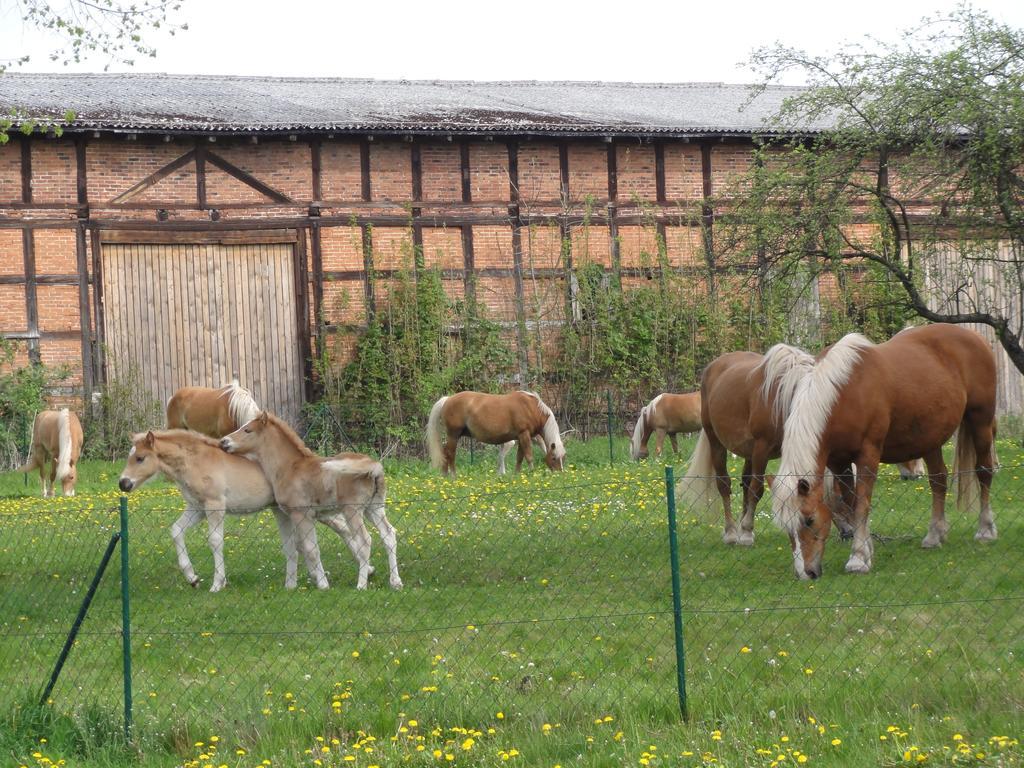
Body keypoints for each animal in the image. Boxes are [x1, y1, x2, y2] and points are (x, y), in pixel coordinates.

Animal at [221, 411, 403, 593]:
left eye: (247, 430)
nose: (224, 441)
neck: (289, 467)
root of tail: (373, 466)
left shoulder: (302, 514)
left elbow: (311, 549)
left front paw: (323, 585)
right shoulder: (299, 516)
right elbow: (300, 546)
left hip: (353, 510)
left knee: (365, 541)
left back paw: (361, 585)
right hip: (374, 508)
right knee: (388, 534)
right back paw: (395, 582)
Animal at [425, 393, 569, 479]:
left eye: (563, 457)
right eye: (554, 458)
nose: (560, 474)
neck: (531, 408)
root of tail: (448, 399)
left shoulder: (521, 437)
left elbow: (519, 458)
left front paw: (517, 475)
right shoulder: (524, 435)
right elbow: (528, 456)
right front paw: (532, 473)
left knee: (445, 453)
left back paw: (444, 475)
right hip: (453, 435)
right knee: (450, 453)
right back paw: (453, 476)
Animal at [770, 321, 995, 581]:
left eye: (809, 520)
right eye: (787, 528)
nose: (805, 573)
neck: (845, 392)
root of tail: (975, 337)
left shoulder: (868, 455)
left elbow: (862, 504)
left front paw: (858, 558)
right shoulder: (838, 462)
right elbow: (851, 502)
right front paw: (866, 550)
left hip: (981, 421)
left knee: (984, 471)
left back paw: (986, 530)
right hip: (931, 438)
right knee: (938, 480)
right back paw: (934, 535)